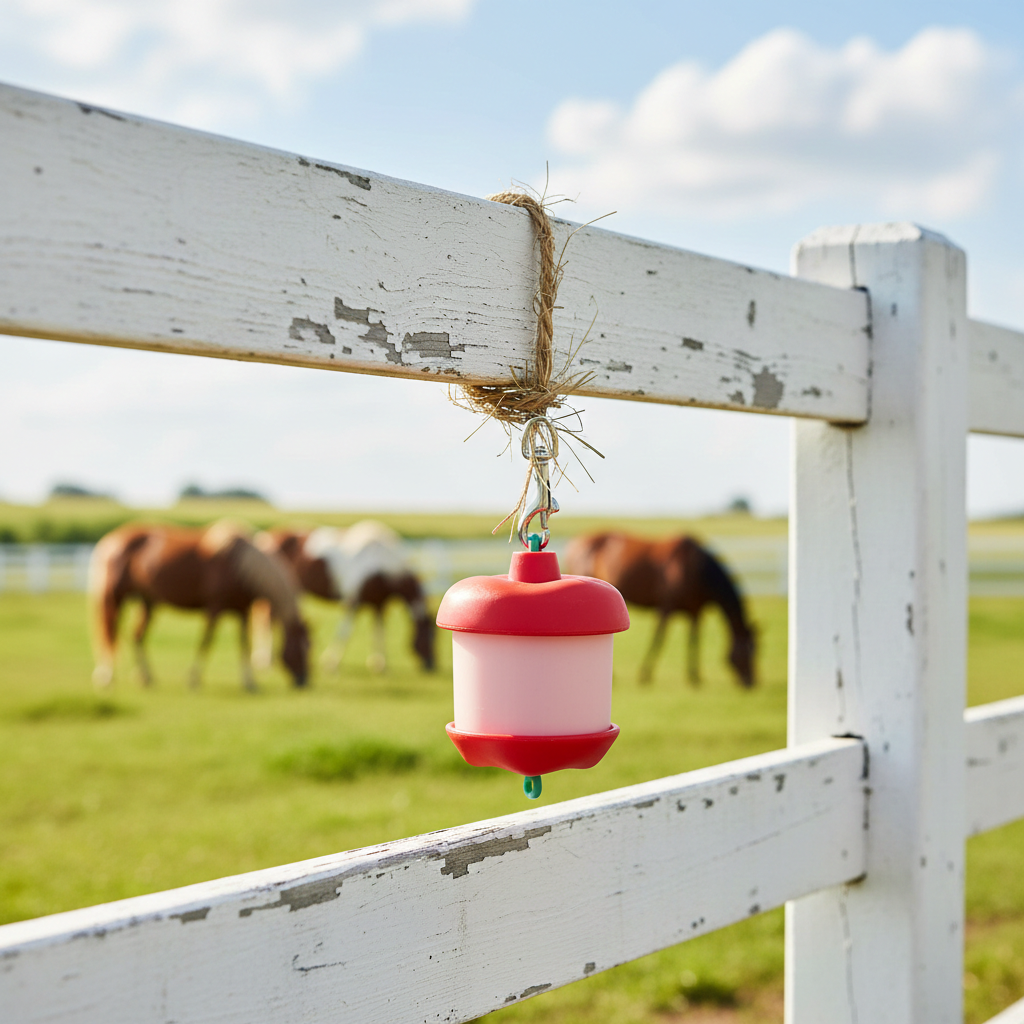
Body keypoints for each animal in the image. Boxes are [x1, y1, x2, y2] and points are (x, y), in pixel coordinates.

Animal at [89, 521, 310, 691]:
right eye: (303, 648)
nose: (304, 682)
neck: (240, 566)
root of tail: (109, 541)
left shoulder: (243, 612)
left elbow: (244, 645)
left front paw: (250, 683)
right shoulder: (214, 609)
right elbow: (206, 642)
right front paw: (194, 679)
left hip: (148, 602)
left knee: (137, 636)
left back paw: (146, 677)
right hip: (114, 599)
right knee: (111, 634)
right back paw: (107, 677)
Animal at [256, 520, 435, 673]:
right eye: (430, 636)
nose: (431, 666)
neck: (381, 564)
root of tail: (267, 537)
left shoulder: (378, 604)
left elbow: (379, 631)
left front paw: (380, 664)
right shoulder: (353, 602)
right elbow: (345, 631)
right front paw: (331, 663)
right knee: (268, 620)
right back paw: (266, 661)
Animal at [563, 532, 757, 688]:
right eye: (748, 651)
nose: (751, 683)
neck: (693, 568)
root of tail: (576, 542)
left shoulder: (695, 611)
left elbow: (693, 640)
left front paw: (694, 677)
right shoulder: (666, 607)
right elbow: (659, 638)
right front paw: (645, 674)